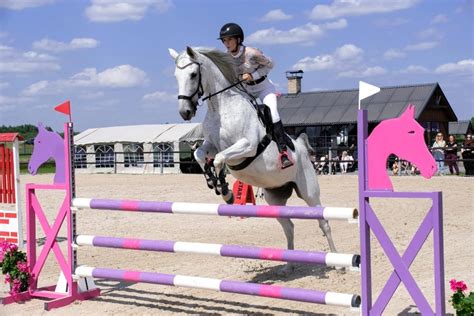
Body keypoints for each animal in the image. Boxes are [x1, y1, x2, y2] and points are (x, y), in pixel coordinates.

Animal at [170, 46, 336, 272]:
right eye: (175, 76)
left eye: (194, 74)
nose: (185, 112)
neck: (220, 107)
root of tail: (301, 147)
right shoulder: (211, 144)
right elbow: (200, 155)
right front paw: (213, 182)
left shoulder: (247, 146)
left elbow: (220, 159)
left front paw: (226, 192)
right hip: (274, 198)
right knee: (289, 226)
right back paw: (288, 266)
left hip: (309, 193)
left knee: (323, 222)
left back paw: (337, 261)